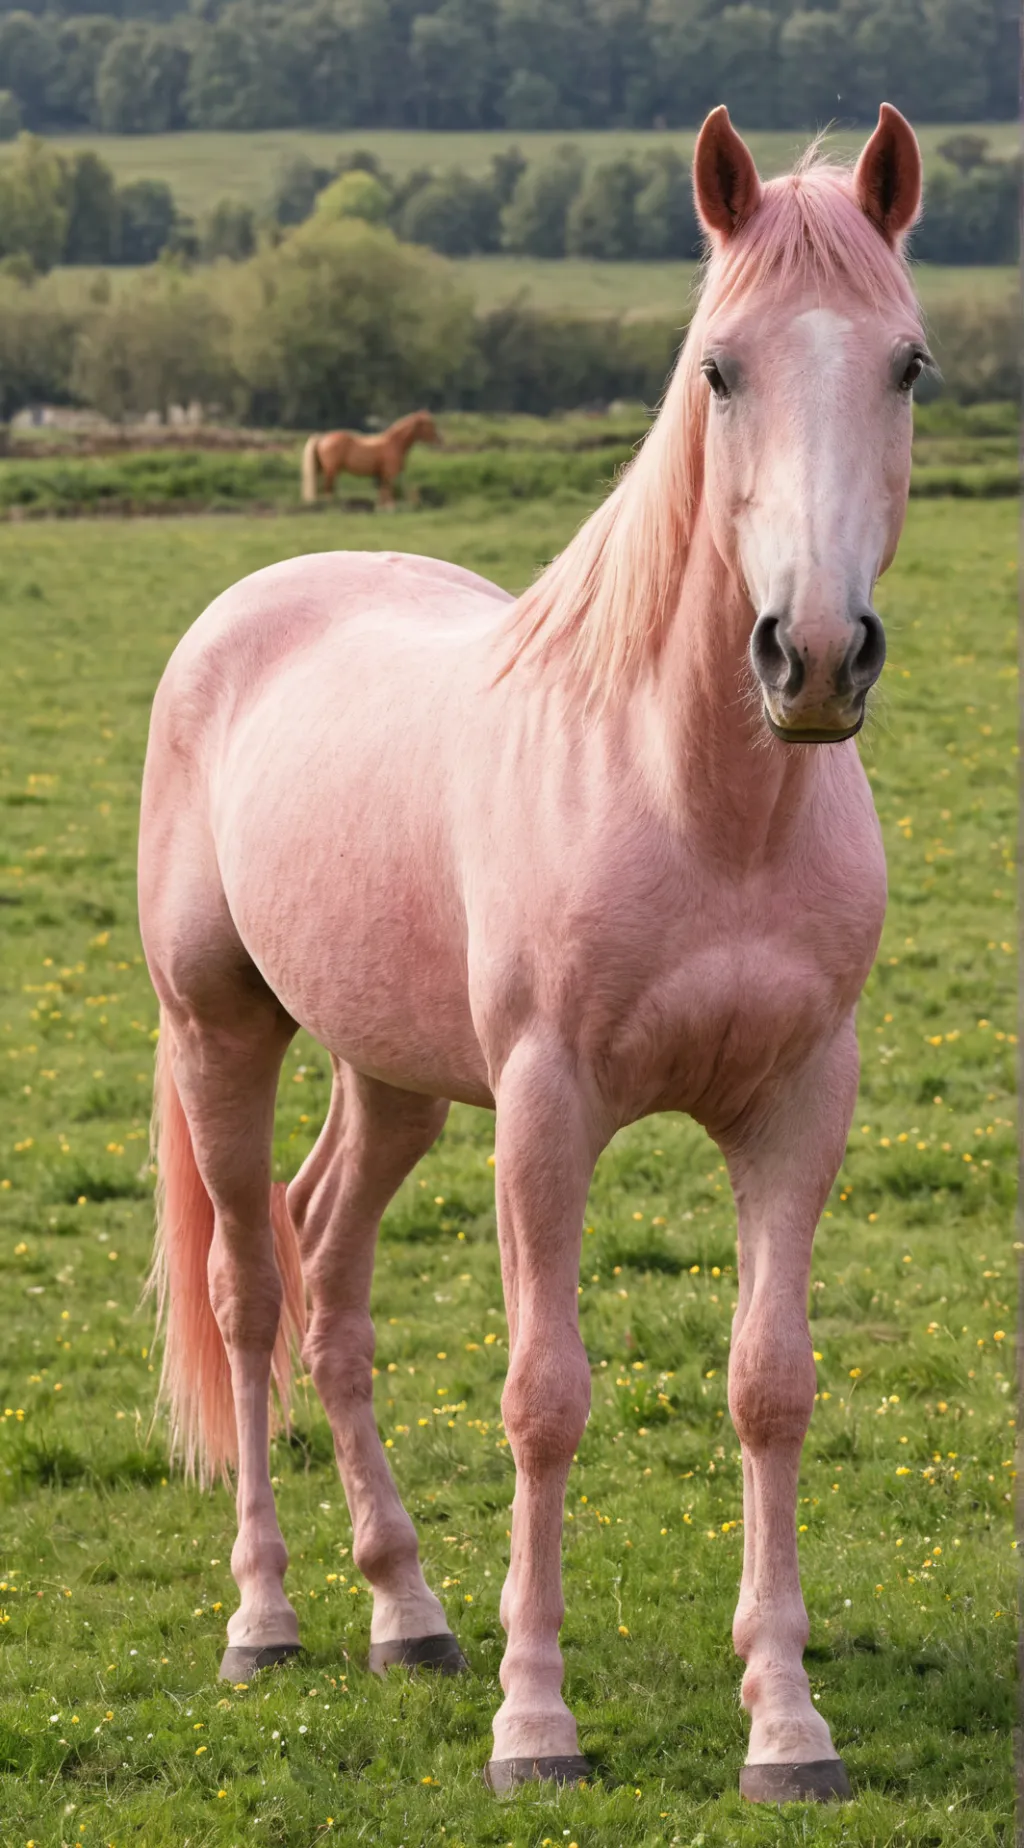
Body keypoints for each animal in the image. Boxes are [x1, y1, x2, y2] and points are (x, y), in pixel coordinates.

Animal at [300, 409, 441, 509]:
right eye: (430, 425)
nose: (439, 441)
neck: (394, 443)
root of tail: (323, 437)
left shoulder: (381, 475)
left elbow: (382, 492)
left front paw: (381, 508)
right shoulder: (388, 474)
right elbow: (388, 490)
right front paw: (390, 508)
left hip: (323, 470)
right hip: (331, 471)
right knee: (328, 489)